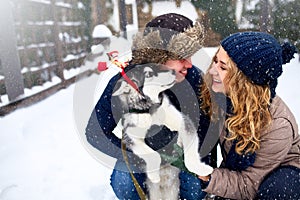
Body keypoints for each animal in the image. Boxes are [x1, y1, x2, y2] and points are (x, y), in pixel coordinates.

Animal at [111, 64, 212, 200]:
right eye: (148, 74)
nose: (174, 72)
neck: (149, 109)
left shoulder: (184, 123)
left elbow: (190, 155)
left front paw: (200, 169)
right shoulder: (130, 137)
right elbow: (154, 155)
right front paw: (153, 174)